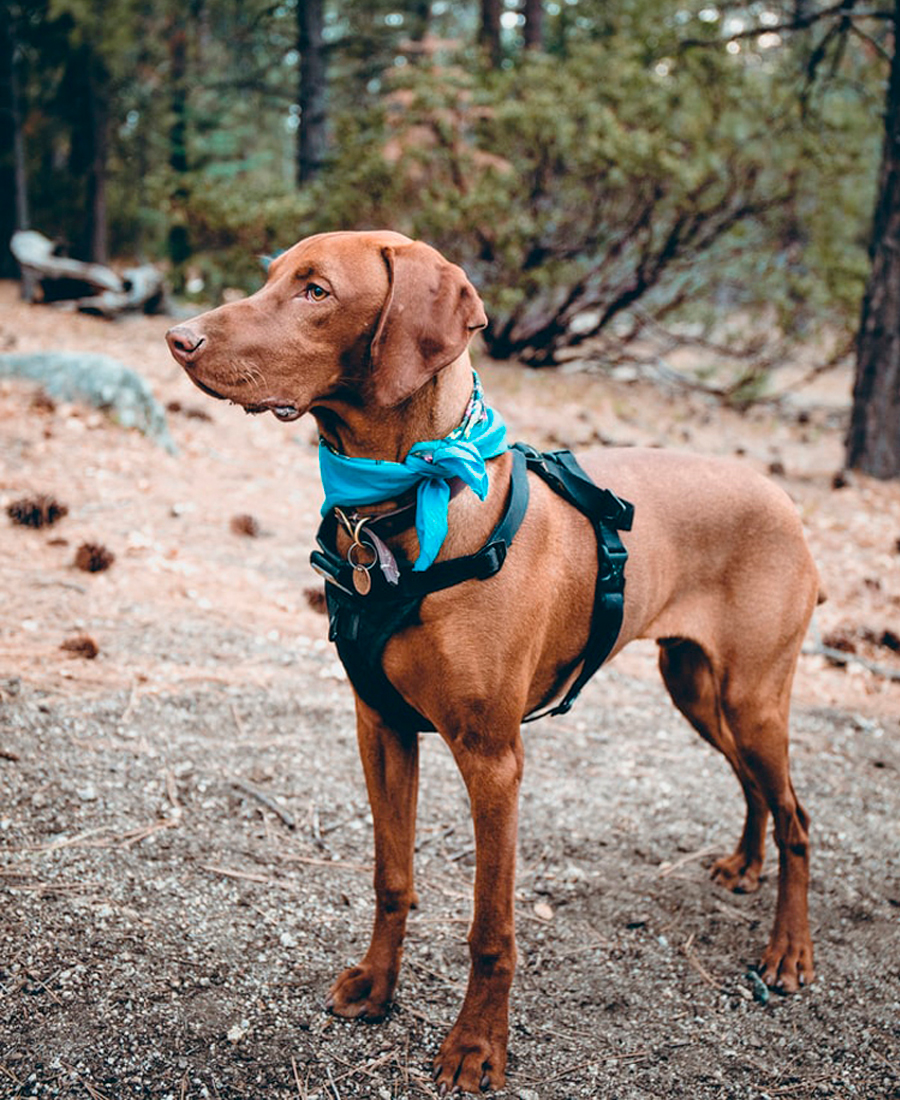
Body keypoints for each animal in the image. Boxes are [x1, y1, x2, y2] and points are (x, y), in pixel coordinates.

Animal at [165, 229, 818, 1091]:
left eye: (316, 291)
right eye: (271, 276)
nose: (178, 338)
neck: (406, 498)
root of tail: (781, 496)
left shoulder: (492, 758)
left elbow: (491, 930)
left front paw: (477, 1047)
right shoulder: (381, 727)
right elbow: (392, 878)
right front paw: (377, 988)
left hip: (752, 697)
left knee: (797, 816)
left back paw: (789, 952)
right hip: (694, 685)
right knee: (754, 787)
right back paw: (744, 865)